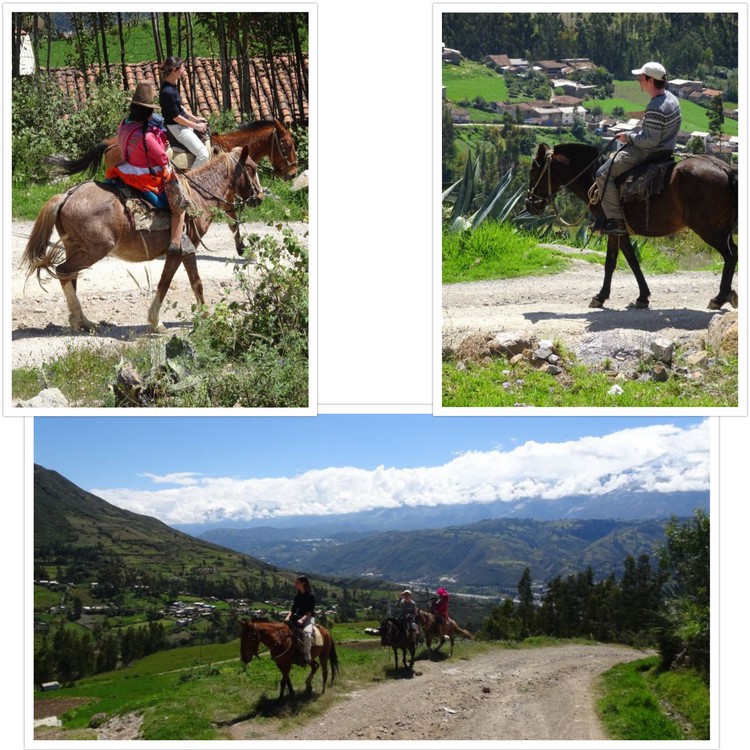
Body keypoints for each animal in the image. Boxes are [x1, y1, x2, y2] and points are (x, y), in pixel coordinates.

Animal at [22, 145, 264, 334]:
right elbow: (174, 282)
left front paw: (202, 316)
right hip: (94, 250)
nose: (260, 197)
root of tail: (67, 195)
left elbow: (192, 283)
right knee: (63, 271)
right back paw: (80, 320)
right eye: (251, 168)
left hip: (75, 248)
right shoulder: (182, 250)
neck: (197, 198)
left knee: (70, 276)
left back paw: (82, 321)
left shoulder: (187, 250)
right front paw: (158, 322)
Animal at [45, 119, 298, 258]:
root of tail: (109, 142)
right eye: (287, 144)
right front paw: (242, 249)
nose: (293, 173)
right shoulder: (226, 196)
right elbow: (234, 220)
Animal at [528, 144, 740, 312]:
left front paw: (601, 297)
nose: (530, 204)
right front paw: (642, 297)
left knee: (730, 255)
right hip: (722, 227)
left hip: (706, 228)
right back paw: (728, 294)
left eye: (533, 172)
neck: (593, 180)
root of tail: (725, 169)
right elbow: (628, 261)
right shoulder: (619, 232)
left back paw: (719, 298)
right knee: (733, 253)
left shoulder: (614, 229)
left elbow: (616, 263)